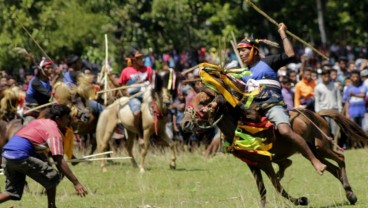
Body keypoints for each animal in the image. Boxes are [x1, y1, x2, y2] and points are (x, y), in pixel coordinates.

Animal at [180, 67, 366, 206]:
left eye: (203, 102)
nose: (185, 123)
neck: (241, 125)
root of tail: (317, 114)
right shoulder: (252, 165)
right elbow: (262, 189)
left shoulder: (265, 162)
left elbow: (277, 186)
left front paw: (302, 200)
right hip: (312, 151)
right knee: (333, 168)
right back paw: (350, 194)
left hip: (321, 146)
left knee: (340, 159)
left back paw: (347, 191)